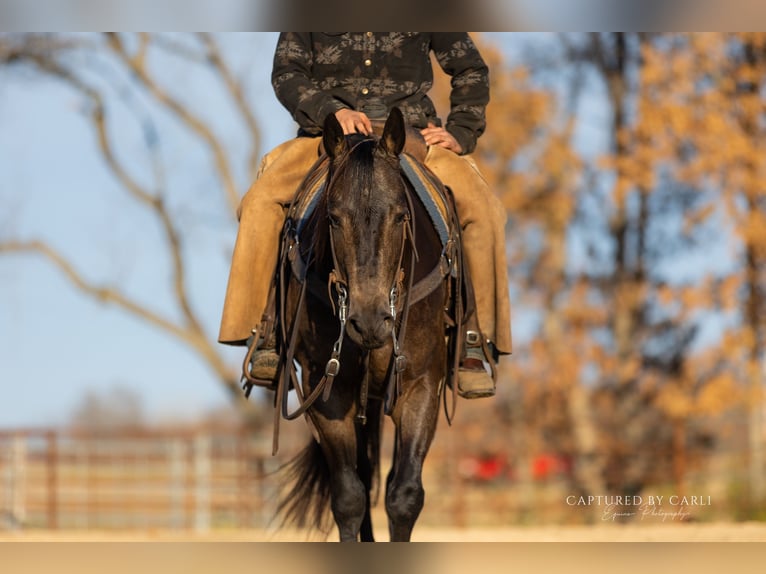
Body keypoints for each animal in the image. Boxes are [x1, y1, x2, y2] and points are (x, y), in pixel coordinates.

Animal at [269, 108, 464, 542]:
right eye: (333, 218)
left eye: (401, 215)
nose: (369, 321)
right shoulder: (325, 387)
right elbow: (349, 497)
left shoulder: (421, 384)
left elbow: (404, 495)